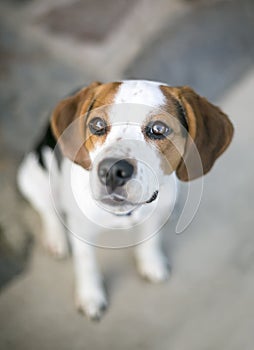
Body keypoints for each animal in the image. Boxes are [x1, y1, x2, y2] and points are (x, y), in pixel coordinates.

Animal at [16, 80, 233, 322]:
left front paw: (151, 262)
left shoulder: (154, 215)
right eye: (97, 125)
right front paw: (90, 295)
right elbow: (86, 263)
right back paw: (56, 239)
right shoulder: (81, 232)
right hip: (30, 176)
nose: (112, 171)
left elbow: (151, 240)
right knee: (48, 209)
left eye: (159, 129)